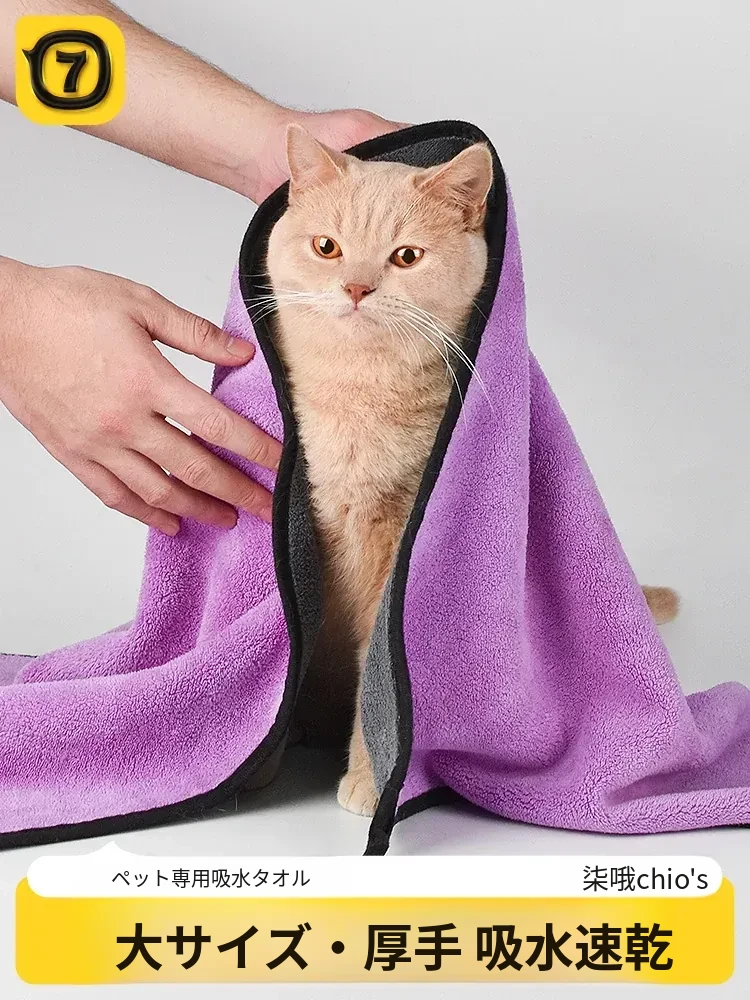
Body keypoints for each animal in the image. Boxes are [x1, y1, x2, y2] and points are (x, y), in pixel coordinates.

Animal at [262, 124, 679, 817]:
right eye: (327, 247)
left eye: (406, 257)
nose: (356, 288)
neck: (358, 397)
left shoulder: (398, 556)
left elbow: (379, 681)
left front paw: (371, 779)